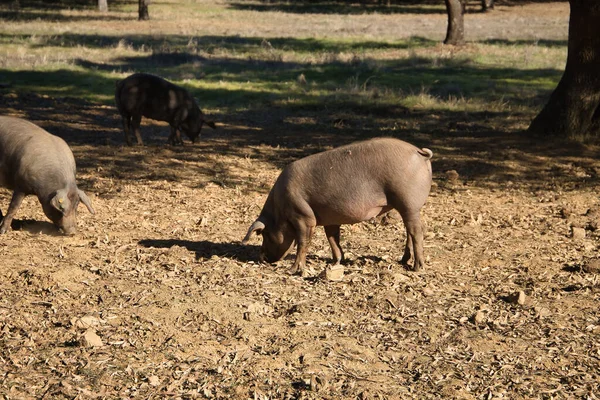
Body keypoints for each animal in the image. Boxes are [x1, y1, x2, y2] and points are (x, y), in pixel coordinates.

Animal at [241, 138, 434, 276]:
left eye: (265, 234)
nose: (262, 258)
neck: (279, 211)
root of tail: (420, 153)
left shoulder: (304, 217)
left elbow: (303, 242)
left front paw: (293, 270)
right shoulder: (330, 220)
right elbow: (333, 239)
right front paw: (336, 262)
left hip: (408, 201)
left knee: (416, 231)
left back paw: (417, 267)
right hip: (409, 206)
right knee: (412, 229)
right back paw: (403, 261)